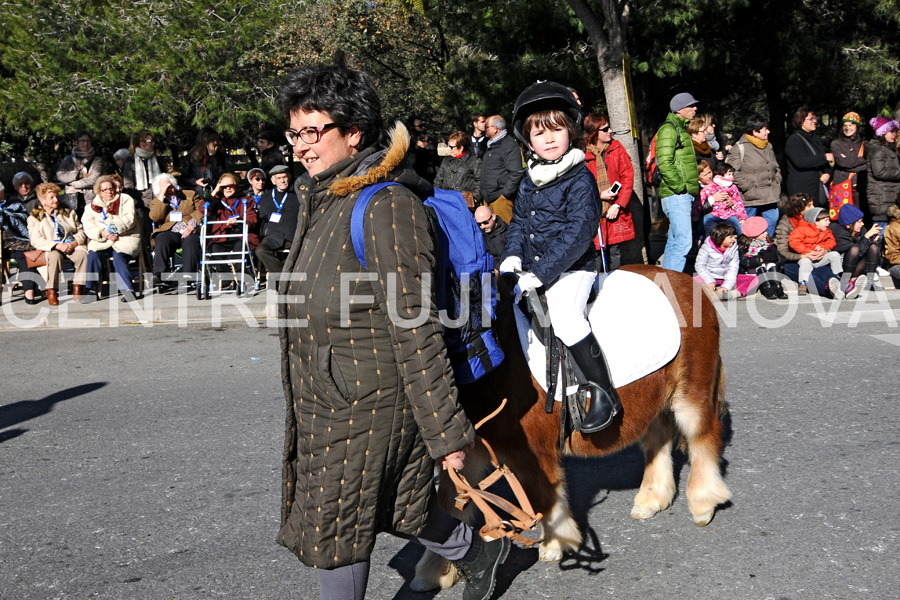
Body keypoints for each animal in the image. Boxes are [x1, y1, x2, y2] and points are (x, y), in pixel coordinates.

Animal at [414, 266, 732, 592]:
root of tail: (685, 280)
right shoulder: (468, 450)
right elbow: (449, 506)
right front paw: (434, 570)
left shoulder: (532, 451)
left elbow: (543, 495)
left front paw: (556, 543)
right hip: (651, 398)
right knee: (659, 439)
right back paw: (651, 499)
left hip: (690, 395)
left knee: (703, 436)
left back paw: (703, 503)